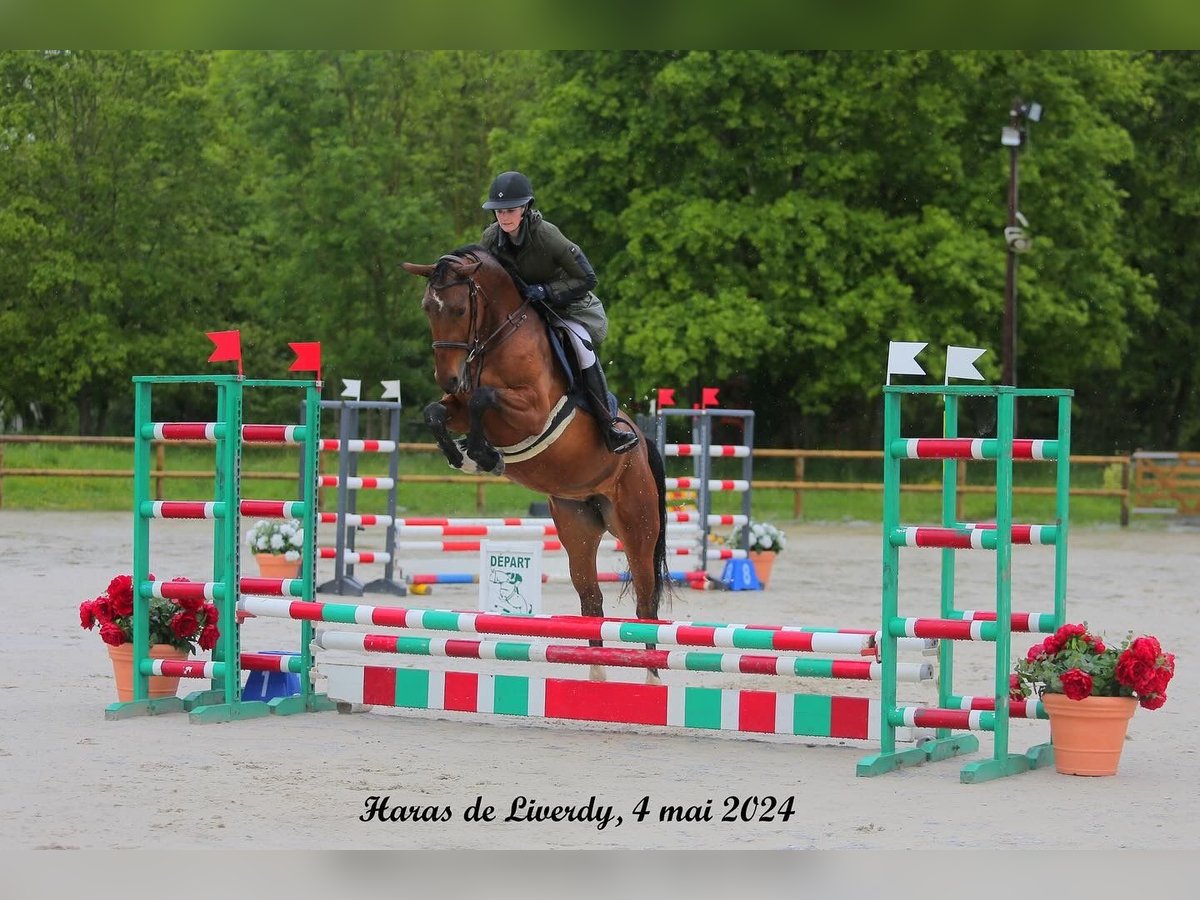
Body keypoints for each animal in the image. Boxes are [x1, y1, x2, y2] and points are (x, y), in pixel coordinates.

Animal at [398, 247, 672, 681]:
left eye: (459, 309)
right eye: (428, 308)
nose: (448, 379)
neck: (495, 338)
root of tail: (642, 443)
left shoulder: (531, 411)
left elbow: (484, 399)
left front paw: (484, 456)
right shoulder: (458, 404)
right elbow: (436, 412)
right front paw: (463, 455)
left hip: (636, 526)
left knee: (646, 603)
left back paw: (649, 678)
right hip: (578, 526)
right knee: (591, 599)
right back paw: (596, 678)